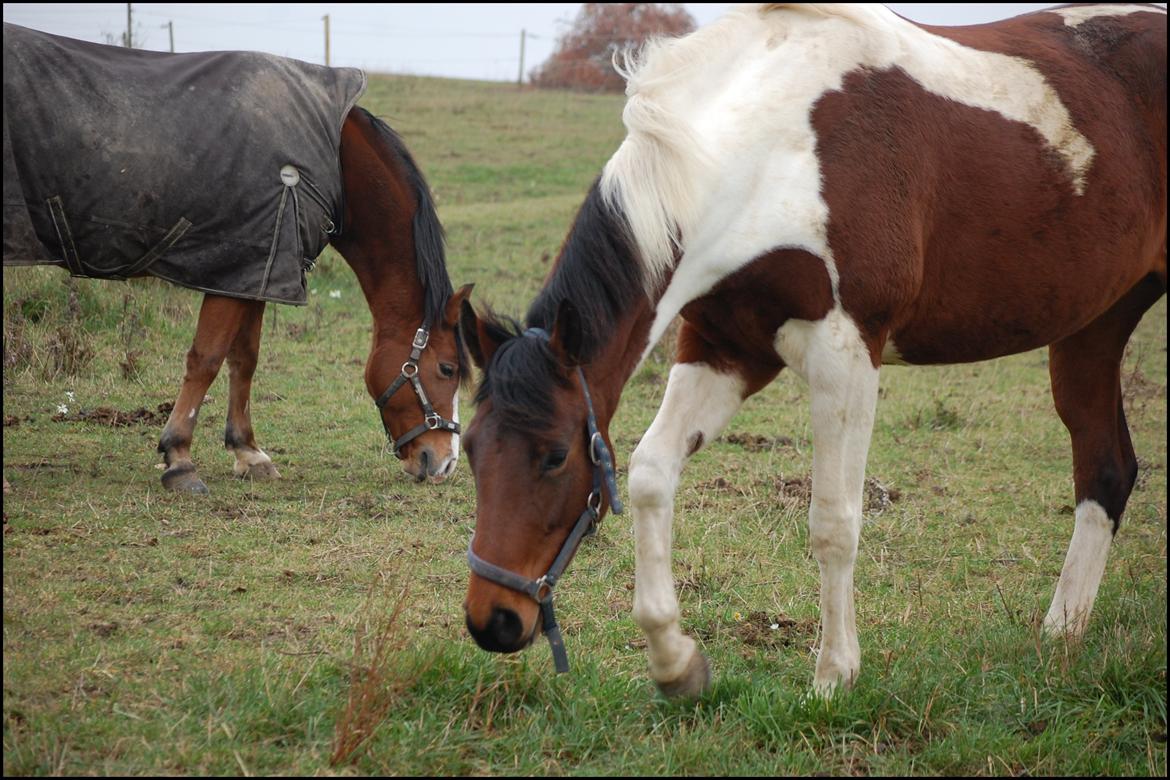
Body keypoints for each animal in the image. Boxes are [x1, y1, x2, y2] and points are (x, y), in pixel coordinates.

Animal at [157, 107, 472, 493]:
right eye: (447, 369)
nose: (447, 462)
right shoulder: (235, 270)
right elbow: (207, 358)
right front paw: (179, 457)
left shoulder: (259, 274)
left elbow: (244, 358)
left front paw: (248, 452)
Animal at [456, 0, 1160, 696]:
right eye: (470, 449)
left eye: (553, 457)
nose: (493, 622)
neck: (772, 149)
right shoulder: (725, 349)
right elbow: (652, 473)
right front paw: (675, 662)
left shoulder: (845, 357)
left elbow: (834, 521)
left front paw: (834, 676)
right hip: (1095, 326)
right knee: (1107, 469)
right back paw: (1061, 636)